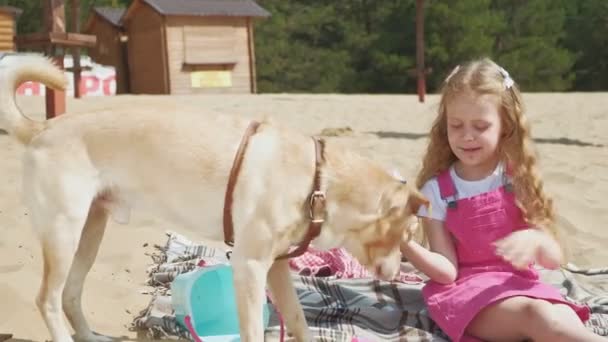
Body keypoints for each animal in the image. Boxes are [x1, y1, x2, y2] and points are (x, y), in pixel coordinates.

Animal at [0, 54, 428, 340]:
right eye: (405, 235)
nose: (395, 275)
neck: (318, 181)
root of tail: (42, 127)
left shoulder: (276, 268)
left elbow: (299, 322)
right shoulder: (250, 267)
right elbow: (253, 331)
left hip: (90, 231)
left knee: (71, 294)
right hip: (64, 232)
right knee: (48, 298)